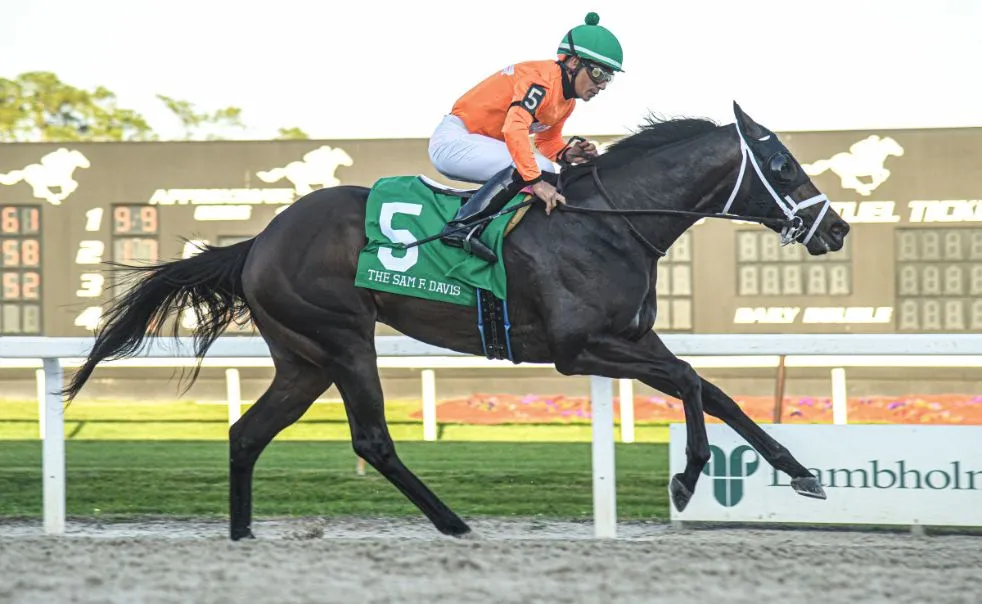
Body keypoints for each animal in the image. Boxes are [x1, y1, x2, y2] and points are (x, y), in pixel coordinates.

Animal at [65, 101, 852, 540]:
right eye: (784, 166)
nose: (837, 229)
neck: (608, 221)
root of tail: (259, 239)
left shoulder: (631, 337)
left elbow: (712, 390)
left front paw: (801, 473)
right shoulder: (578, 349)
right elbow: (691, 382)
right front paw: (688, 479)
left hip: (303, 361)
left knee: (245, 434)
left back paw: (241, 537)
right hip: (344, 341)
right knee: (372, 439)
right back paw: (452, 521)